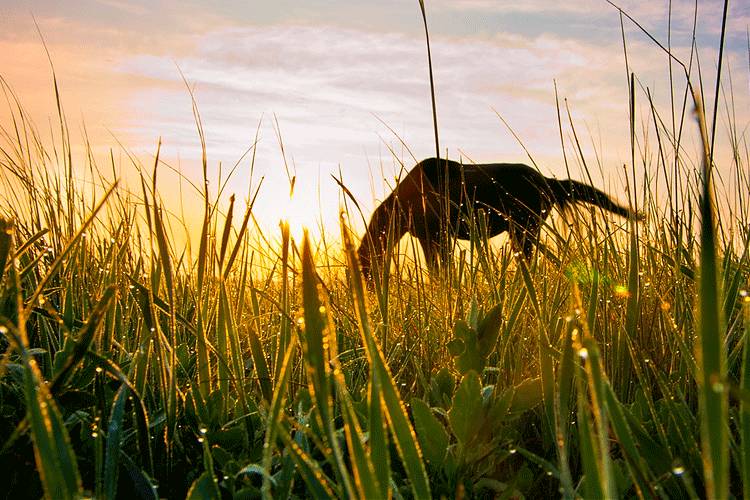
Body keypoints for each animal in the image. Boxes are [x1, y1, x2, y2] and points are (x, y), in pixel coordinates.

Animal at [358, 158, 640, 280]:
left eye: (365, 270)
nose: (370, 293)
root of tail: (547, 182)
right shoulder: (431, 240)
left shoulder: (437, 237)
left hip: (525, 231)